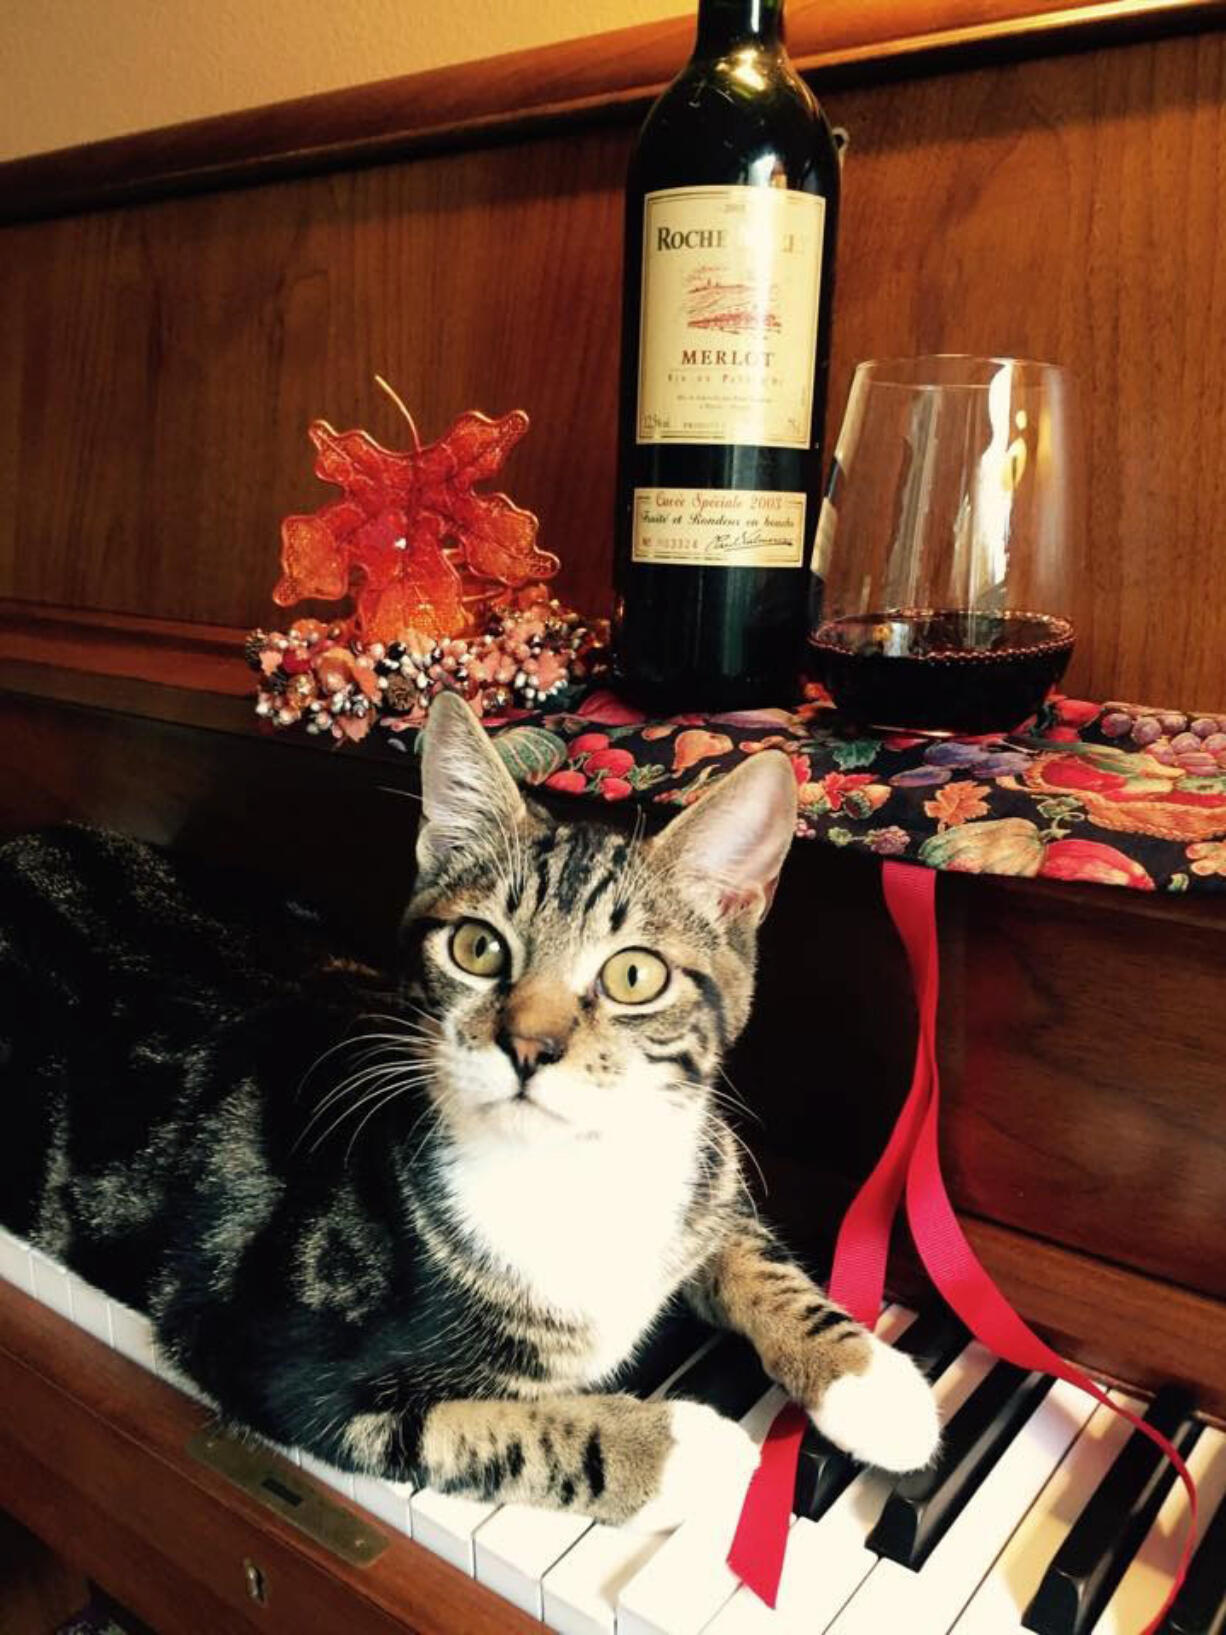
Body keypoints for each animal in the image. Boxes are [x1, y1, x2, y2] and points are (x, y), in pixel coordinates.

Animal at [0, 696, 941, 1523]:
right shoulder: (275, 1360)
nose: (529, 1045)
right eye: (478, 946)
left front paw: (876, 1382)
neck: (572, 1170)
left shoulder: (703, 1178)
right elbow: (504, 1430)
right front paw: (689, 1448)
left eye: (635, 974)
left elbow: (751, 1251)